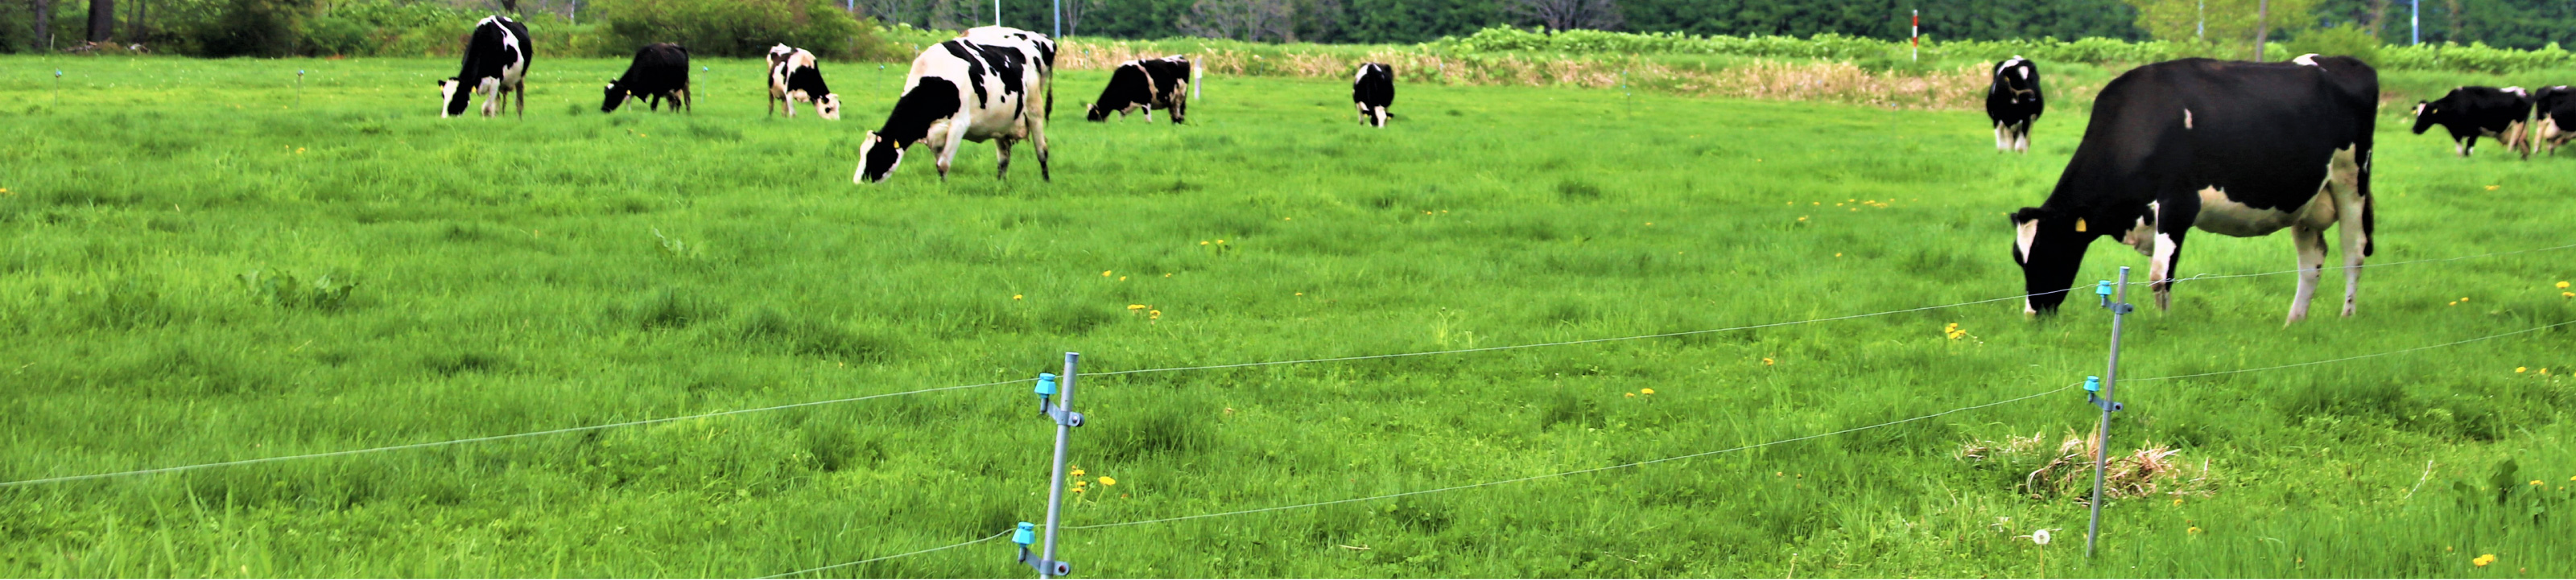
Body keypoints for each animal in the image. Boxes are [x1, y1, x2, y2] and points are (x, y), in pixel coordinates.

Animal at [438, 15, 528, 119]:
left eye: (458, 96)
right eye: (443, 95)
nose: (445, 117)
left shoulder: (495, 81)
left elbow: (486, 109)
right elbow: (491, 107)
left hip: (520, 77)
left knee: (519, 101)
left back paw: (519, 118)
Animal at [855, 25, 1056, 181]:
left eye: (876, 153)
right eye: (862, 153)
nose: (858, 181)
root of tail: (1041, 38)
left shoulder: (958, 125)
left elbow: (943, 164)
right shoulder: (934, 133)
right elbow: (938, 163)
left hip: (1034, 109)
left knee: (1042, 150)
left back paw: (1045, 181)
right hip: (1002, 120)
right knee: (1004, 157)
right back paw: (1000, 183)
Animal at [1092, 55, 1200, 123]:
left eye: (1093, 118)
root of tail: (1181, 58)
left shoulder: (1145, 100)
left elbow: (1148, 120)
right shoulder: (1123, 107)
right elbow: (1121, 120)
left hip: (1180, 97)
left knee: (1179, 116)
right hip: (1172, 100)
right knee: (1175, 116)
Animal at [2009, 55, 2370, 323]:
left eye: (2048, 249)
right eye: (2018, 257)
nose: (2031, 314)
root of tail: (2341, 61)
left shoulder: (2178, 205)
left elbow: (2160, 276)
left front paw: (2163, 325)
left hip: (2352, 182)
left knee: (2354, 251)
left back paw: (2347, 316)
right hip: (2307, 201)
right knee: (2311, 261)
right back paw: (2294, 321)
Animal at [2411, 86, 2534, 158]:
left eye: (2426, 114)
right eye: (2417, 114)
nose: (2414, 129)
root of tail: (2525, 91)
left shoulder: (2475, 132)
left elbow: (2468, 152)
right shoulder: (2456, 133)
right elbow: (2460, 152)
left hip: (2518, 126)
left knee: (2513, 146)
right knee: (2525, 147)